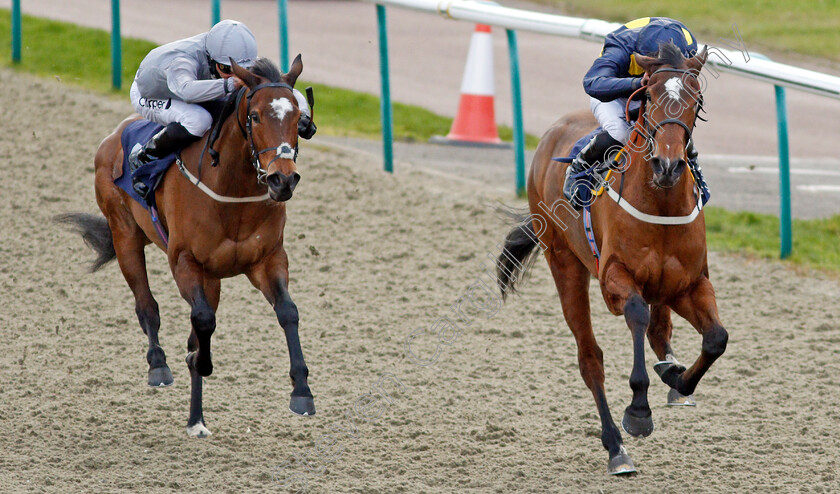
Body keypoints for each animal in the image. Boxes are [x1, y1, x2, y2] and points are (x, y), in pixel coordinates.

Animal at [57, 56, 316, 438]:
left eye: (299, 118)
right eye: (255, 116)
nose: (282, 179)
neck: (232, 191)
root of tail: (116, 134)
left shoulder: (267, 260)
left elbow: (288, 311)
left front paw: (302, 391)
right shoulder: (184, 261)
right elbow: (202, 321)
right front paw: (198, 361)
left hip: (212, 277)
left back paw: (196, 419)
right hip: (125, 236)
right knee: (146, 306)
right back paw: (159, 367)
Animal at [496, 46, 724, 474]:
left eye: (697, 99)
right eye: (648, 95)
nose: (668, 165)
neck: (661, 202)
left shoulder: (689, 283)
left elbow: (716, 338)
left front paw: (678, 380)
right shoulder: (614, 279)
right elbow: (636, 314)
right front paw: (638, 412)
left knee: (660, 330)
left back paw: (669, 369)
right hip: (564, 263)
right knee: (590, 358)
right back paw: (616, 447)